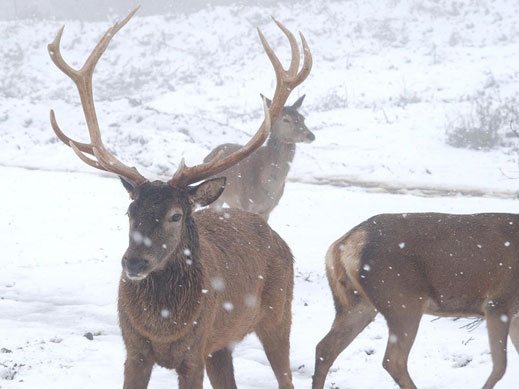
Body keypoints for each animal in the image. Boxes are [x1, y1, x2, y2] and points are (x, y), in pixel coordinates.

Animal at [312, 212, 519, 388]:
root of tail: (340, 246)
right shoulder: (499, 302)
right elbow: (500, 367)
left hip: (357, 303)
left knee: (325, 348)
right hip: (402, 300)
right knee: (393, 360)